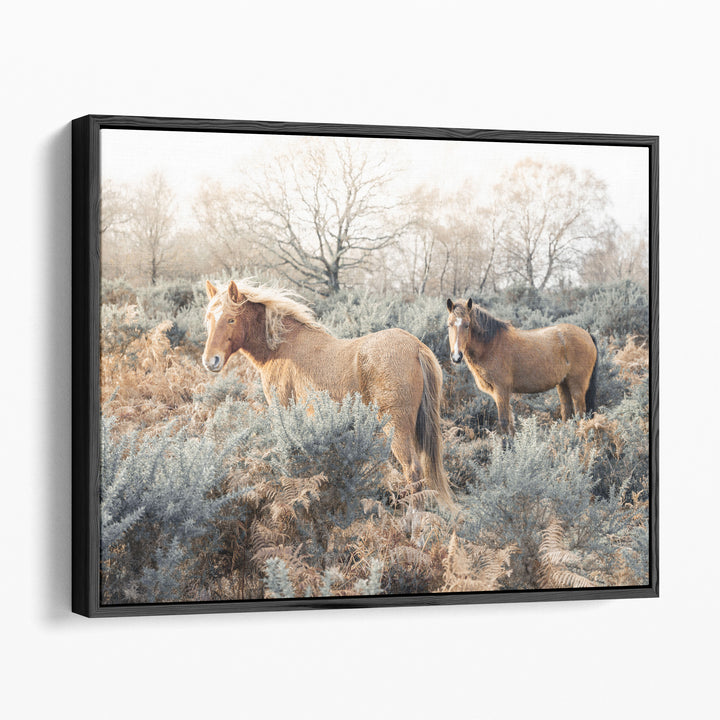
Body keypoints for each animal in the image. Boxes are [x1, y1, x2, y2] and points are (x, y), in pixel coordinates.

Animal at [202, 279, 453, 506]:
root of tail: (416, 347)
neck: (282, 347)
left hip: (396, 426)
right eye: (209, 319)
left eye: (231, 318)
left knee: (412, 470)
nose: (210, 360)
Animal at [446, 297, 598, 435]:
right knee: (567, 414)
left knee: (580, 415)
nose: (456, 357)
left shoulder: (501, 391)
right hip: (563, 385)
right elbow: (510, 424)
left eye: (467, 325)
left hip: (577, 386)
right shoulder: (498, 394)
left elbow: (504, 422)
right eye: (449, 324)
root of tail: (587, 334)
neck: (491, 345)